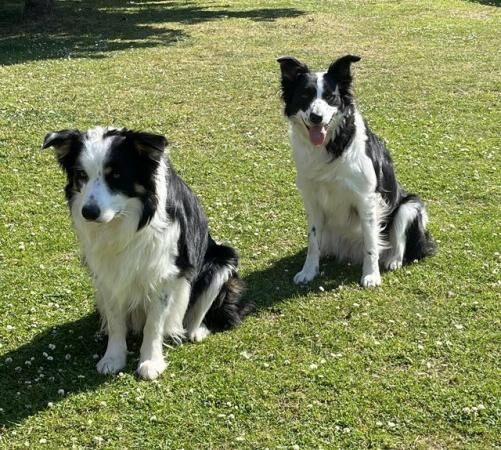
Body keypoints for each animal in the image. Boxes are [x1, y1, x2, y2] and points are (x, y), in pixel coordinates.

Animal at [42, 127, 254, 380]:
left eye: (116, 175)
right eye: (81, 174)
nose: (89, 213)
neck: (126, 221)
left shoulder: (164, 274)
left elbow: (154, 324)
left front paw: (151, 362)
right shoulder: (108, 275)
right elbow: (115, 320)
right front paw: (113, 357)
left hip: (222, 261)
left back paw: (197, 331)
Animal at [276, 56, 436, 286]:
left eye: (330, 96)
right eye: (304, 95)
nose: (316, 117)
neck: (332, 145)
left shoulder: (366, 199)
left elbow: (371, 243)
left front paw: (371, 275)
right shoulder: (312, 199)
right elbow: (313, 241)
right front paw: (308, 271)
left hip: (410, 206)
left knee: (398, 241)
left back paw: (393, 260)